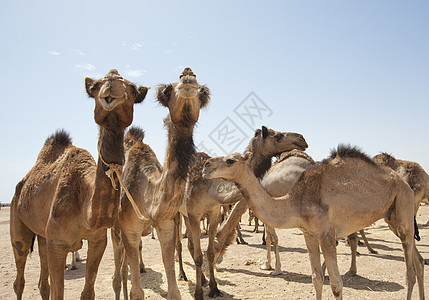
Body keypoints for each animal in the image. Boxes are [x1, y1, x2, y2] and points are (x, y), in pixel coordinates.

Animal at [10, 69, 148, 298]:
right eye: (95, 87)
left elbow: (88, 292)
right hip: (18, 220)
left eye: (133, 89)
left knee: (42, 283)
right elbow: (58, 293)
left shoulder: (97, 241)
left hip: (42, 235)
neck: (84, 206)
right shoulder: (57, 244)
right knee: (19, 275)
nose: (111, 84)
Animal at [115, 68, 211, 300]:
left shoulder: (166, 223)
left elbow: (174, 290)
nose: (188, 74)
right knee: (119, 271)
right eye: (167, 90)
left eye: (202, 92)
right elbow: (137, 292)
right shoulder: (129, 229)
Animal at [181, 127, 308, 300]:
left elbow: (209, 252)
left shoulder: (215, 213)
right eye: (278, 136)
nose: (302, 139)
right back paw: (186, 276)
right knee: (184, 245)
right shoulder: (195, 215)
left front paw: (214, 288)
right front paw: (199, 292)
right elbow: (200, 254)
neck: (210, 190)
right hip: (180, 214)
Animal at [204, 145, 424, 298]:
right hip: (393, 217)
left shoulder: (326, 234)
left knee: (410, 271)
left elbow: (336, 284)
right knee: (419, 262)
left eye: (230, 160)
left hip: (403, 205)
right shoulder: (309, 234)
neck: (295, 201)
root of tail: (402, 182)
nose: (206, 165)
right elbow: (316, 279)